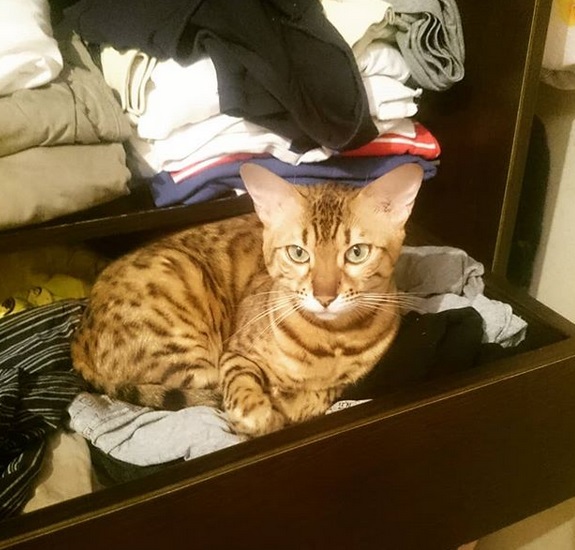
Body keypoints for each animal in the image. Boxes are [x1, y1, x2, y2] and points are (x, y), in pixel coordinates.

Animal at [71, 162, 424, 438]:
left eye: (357, 253)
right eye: (298, 253)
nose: (325, 297)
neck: (331, 340)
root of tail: (79, 335)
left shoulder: (351, 374)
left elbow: (325, 390)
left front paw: (303, 400)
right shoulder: (234, 352)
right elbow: (242, 382)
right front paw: (260, 412)